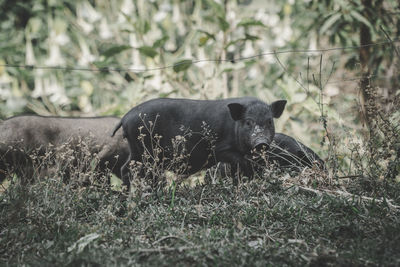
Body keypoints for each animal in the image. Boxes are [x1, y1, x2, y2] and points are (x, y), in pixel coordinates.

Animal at [111, 97, 288, 189]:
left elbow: (237, 171)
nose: (261, 142)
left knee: (128, 169)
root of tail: (125, 117)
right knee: (131, 171)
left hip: (139, 151)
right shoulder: (220, 149)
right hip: (144, 151)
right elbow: (240, 162)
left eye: (270, 121)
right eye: (249, 122)